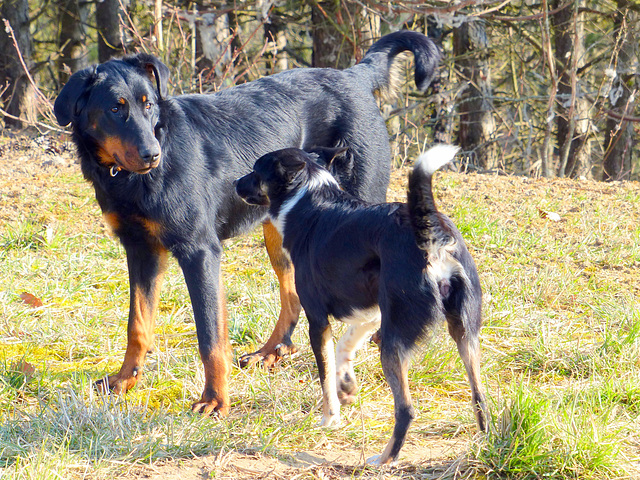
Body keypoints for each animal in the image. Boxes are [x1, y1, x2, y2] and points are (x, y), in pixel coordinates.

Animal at [53, 31, 440, 418]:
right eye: (115, 108)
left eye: (148, 106)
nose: (152, 154)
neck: (129, 179)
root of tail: (355, 75)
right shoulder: (140, 249)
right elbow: (138, 324)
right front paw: (124, 381)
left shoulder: (199, 251)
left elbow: (210, 335)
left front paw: (215, 399)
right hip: (282, 232)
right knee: (292, 295)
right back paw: (272, 352)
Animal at [235, 144, 484, 464]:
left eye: (256, 170)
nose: (234, 183)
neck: (308, 198)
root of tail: (430, 234)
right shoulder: (372, 312)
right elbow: (344, 346)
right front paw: (347, 385)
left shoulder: (317, 320)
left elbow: (325, 374)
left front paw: (330, 418)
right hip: (465, 334)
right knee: (480, 398)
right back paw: (485, 444)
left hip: (393, 342)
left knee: (406, 409)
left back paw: (385, 459)